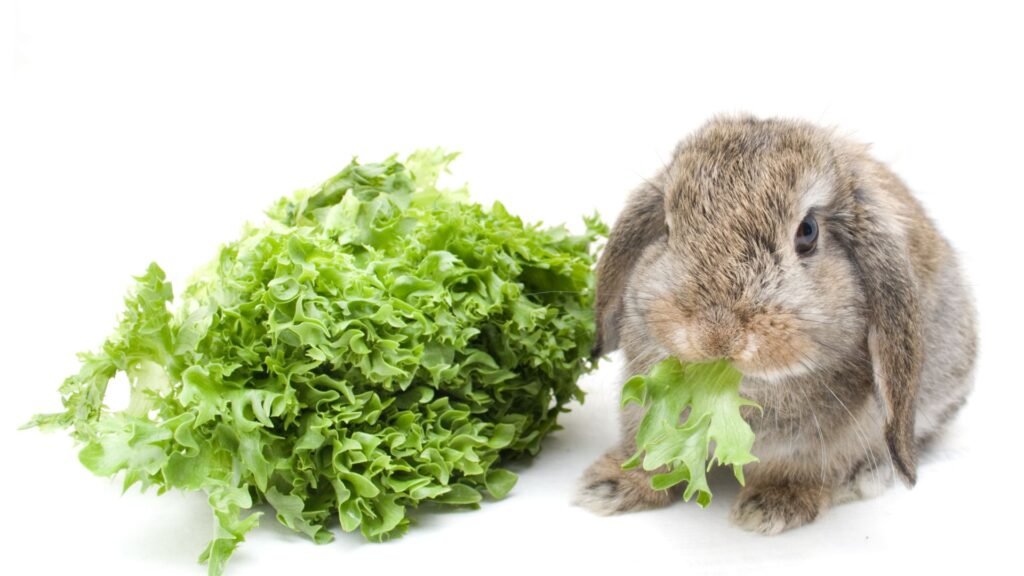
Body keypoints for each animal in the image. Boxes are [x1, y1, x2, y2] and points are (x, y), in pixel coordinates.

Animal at [574, 115, 977, 534]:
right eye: (667, 230)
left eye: (808, 231)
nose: (717, 336)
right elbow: (648, 450)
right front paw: (610, 486)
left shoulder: (825, 442)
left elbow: (802, 468)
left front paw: (772, 507)